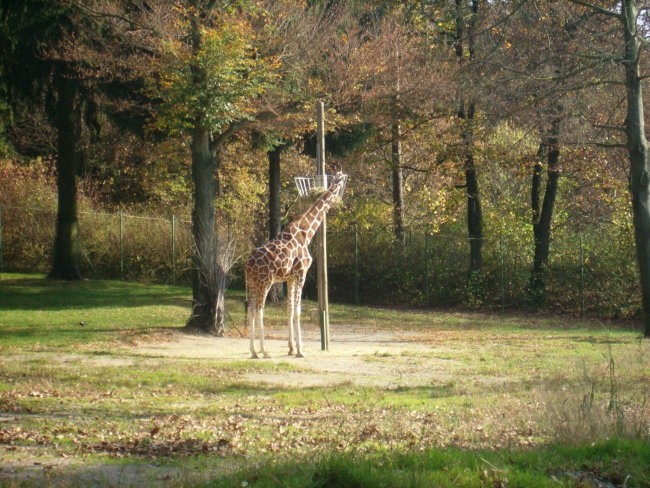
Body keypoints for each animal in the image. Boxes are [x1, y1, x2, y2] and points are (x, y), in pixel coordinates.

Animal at [243, 172, 344, 358]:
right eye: (340, 181)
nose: (340, 194)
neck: (307, 233)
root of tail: (248, 265)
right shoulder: (301, 273)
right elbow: (297, 311)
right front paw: (300, 350)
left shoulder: (289, 278)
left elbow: (289, 309)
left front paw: (291, 348)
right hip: (264, 282)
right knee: (259, 310)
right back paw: (264, 351)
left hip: (252, 283)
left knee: (251, 309)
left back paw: (253, 351)